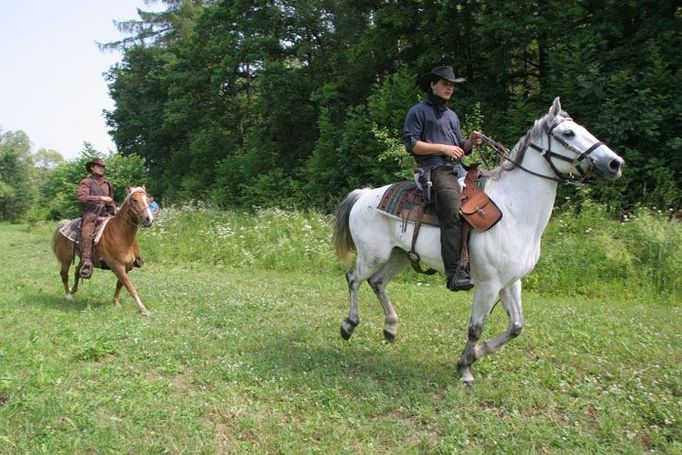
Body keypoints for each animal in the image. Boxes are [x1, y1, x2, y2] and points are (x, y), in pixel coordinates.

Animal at [52, 187, 154, 316]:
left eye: (148, 199)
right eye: (134, 200)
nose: (149, 219)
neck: (121, 234)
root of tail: (64, 224)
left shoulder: (127, 267)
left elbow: (120, 284)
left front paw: (116, 302)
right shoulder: (117, 266)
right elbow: (130, 286)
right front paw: (143, 310)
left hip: (84, 259)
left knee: (77, 271)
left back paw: (72, 289)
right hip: (66, 259)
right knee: (64, 274)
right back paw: (68, 295)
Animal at [332, 99, 624, 384]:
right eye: (568, 133)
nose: (615, 163)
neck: (514, 211)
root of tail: (365, 195)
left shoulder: (511, 281)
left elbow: (516, 326)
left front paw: (476, 354)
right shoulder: (489, 284)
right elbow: (476, 327)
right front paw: (465, 368)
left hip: (399, 256)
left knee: (377, 282)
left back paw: (390, 327)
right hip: (374, 255)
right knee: (354, 279)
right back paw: (349, 325)